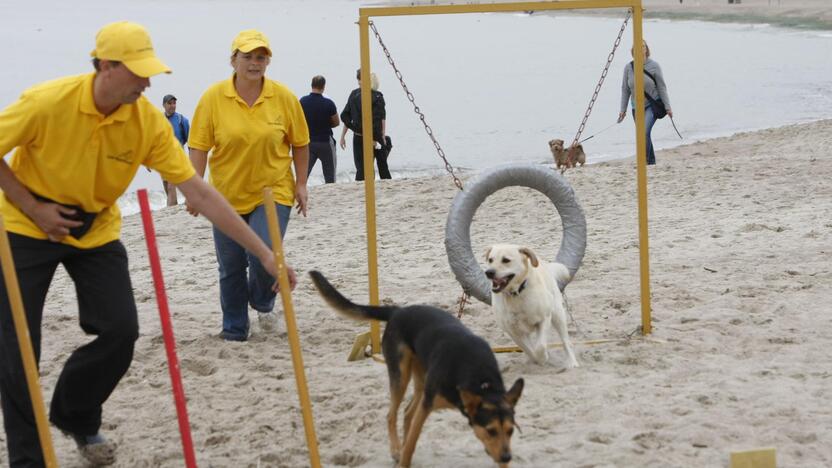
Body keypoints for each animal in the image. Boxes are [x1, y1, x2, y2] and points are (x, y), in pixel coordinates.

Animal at [308, 270, 524, 468]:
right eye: (491, 430)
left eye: (511, 430)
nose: (507, 456)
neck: (480, 379)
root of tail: (397, 312)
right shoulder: (427, 405)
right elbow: (411, 442)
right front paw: (403, 456)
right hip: (401, 376)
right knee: (392, 415)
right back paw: (396, 449)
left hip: (421, 380)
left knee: (406, 413)